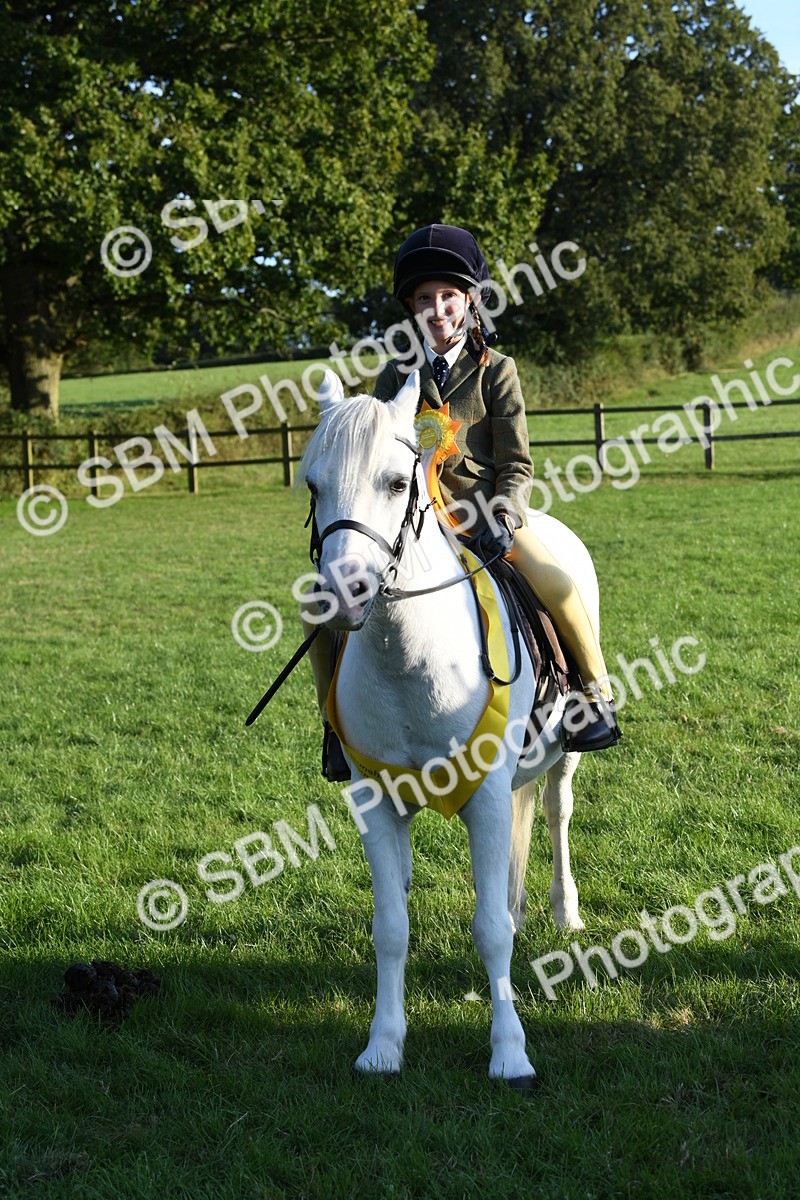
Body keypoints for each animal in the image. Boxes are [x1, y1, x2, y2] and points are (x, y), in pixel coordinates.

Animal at [298, 367, 597, 1088]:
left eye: (395, 482)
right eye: (313, 485)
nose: (341, 596)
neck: (411, 657)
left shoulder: (484, 799)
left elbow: (489, 929)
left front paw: (509, 1052)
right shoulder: (376, 804)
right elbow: (391, 927)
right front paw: (383, 1045)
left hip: (566, 758)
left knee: (556, 812)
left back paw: (564, 911)